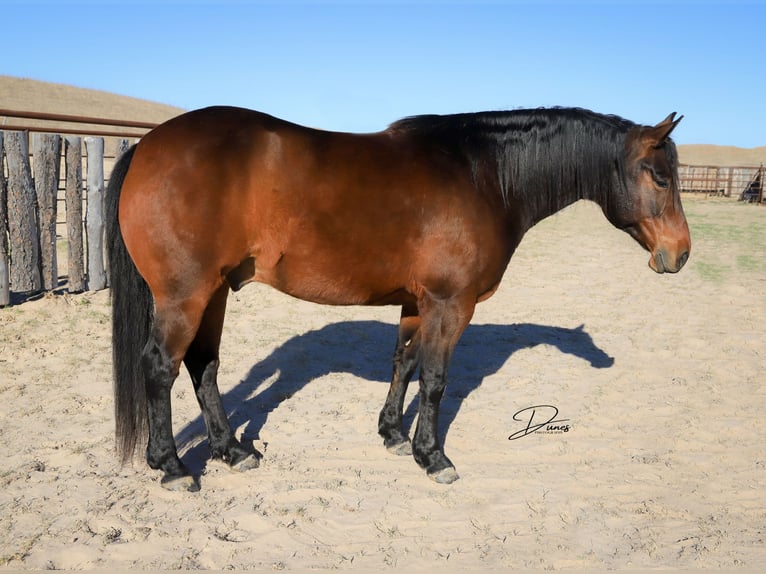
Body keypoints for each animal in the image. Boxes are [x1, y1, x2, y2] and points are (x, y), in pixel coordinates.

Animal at [105, 106, 690, 491]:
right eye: (660, 177)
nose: (681, 253)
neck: (483, 174)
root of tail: (147, 147)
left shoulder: (417, 303)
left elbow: (404, 363)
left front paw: (391, 434)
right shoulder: (451, 304)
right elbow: (434, 379)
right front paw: (432, 456)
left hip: (215, 293)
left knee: (203, 365)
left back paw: (231, 451)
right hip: (186, 296)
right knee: (161, 366)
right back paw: (172, 466)